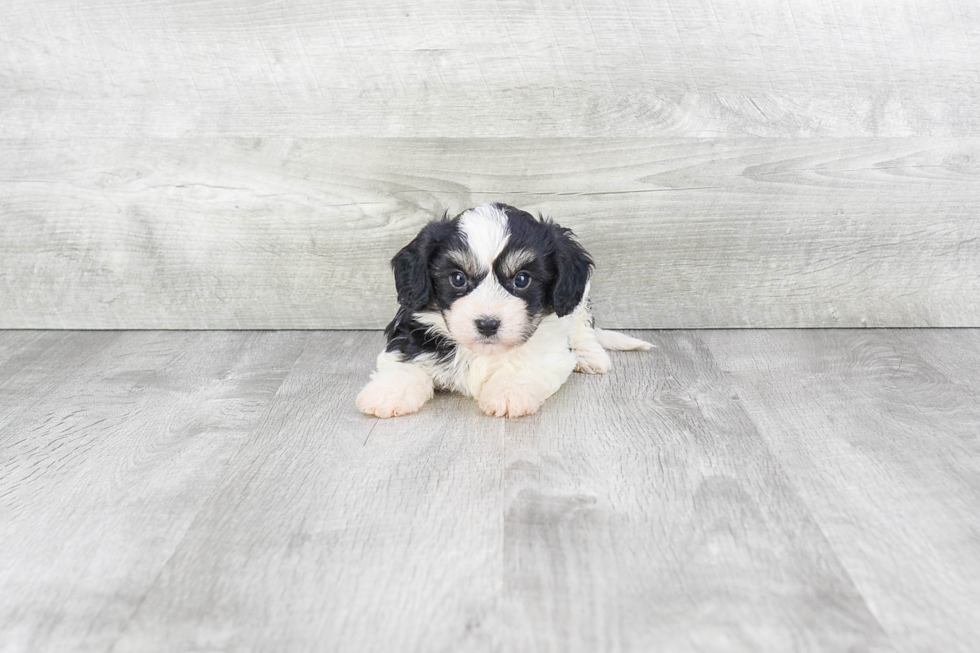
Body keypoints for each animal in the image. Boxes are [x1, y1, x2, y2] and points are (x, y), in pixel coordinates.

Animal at [354, 201, 652, 420]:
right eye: (458, 278)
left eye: (521, 279)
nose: (487, 324)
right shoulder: (412, 331)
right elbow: (405, 361)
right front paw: (389, 392)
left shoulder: (549, 347)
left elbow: (527, 365)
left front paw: (510, 392)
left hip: (579, 299)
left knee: (583, 327)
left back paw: (591, 355)